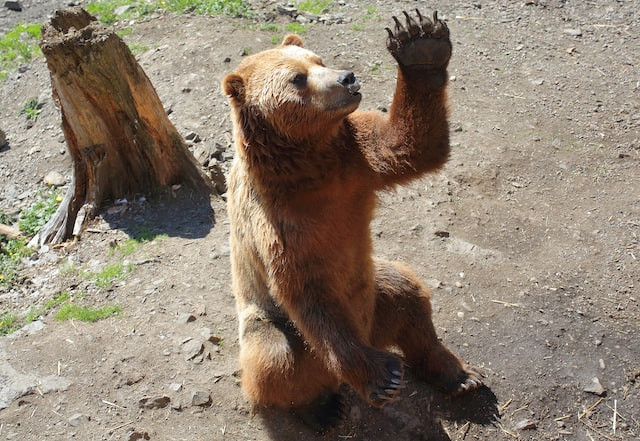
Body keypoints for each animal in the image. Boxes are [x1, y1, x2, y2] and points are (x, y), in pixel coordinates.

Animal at [222, 9, 482, 430]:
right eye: (297, 78)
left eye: (318, 60)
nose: (347, 77)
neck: (309, 167)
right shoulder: (277, 223)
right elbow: (308, 291)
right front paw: (381, 377)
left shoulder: (355, 160)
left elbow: (411, 145)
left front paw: (420, 44)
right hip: (271, 323)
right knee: (275, 358)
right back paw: (320, 409)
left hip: (374, 292)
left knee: (410, 296)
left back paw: (458, 374)